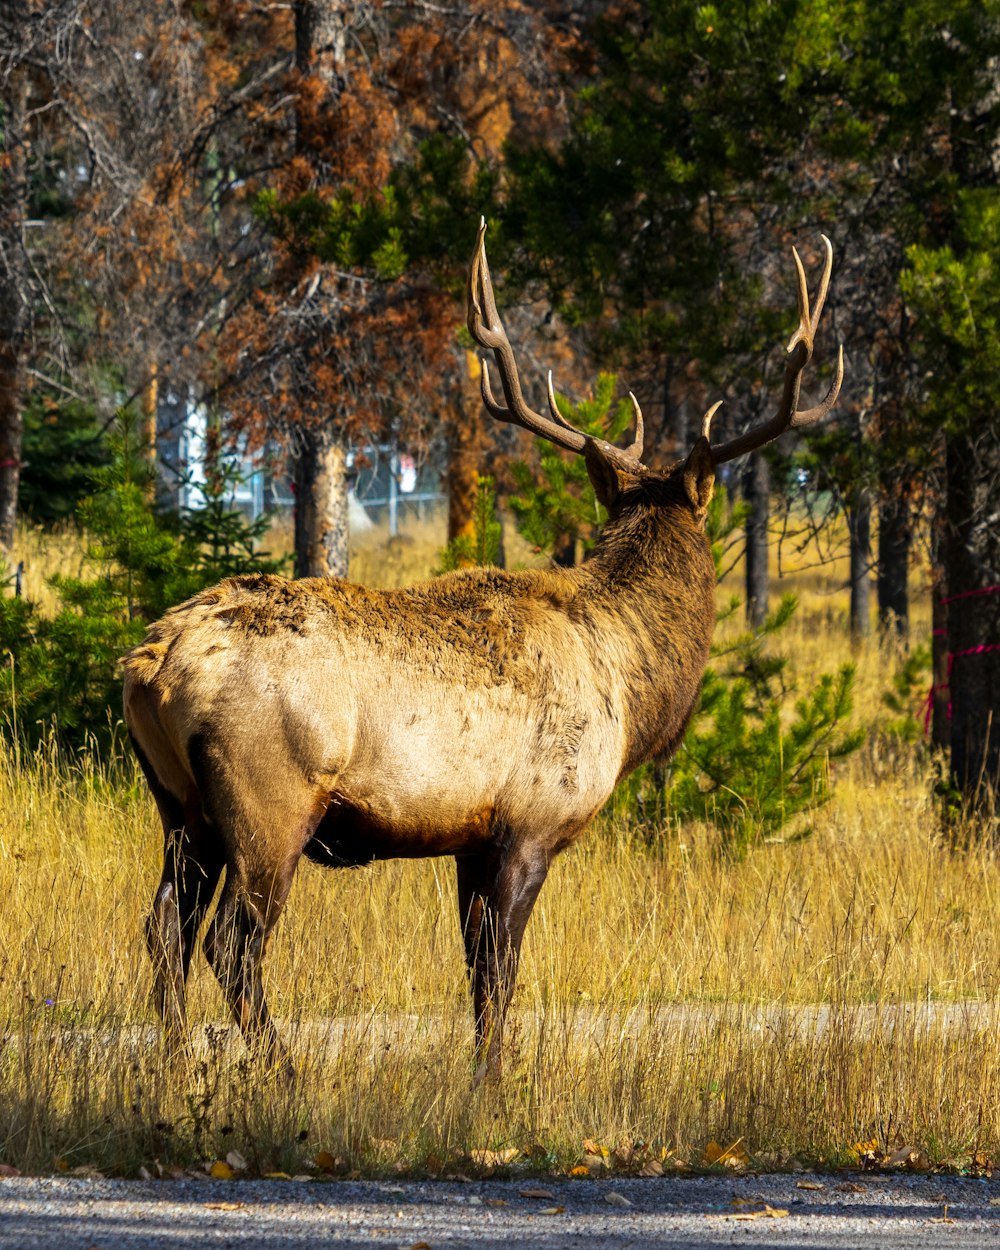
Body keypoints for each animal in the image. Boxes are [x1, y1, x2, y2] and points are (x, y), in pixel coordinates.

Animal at [125, 220, 845, 1080]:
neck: (632, 688)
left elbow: (472, 970)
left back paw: (173, 1068)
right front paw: (490, 1081)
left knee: (166, 927)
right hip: (268, 799)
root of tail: (150, 665)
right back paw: (284, 1074)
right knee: (234, 943)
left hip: (180, 807)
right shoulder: (529, 824)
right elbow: (500, 970)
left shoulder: (468, 838)